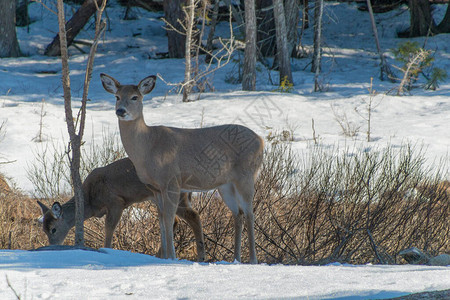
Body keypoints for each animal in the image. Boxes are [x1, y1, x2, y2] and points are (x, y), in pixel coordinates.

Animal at [37, 158, 206, 262]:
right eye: (43, 229)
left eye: (53, 229)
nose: (52, 246)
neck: (90, 200)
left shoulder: (116, 202)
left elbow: (109, 229)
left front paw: (107, 250)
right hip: (159, 198)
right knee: (172, 220)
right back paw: (160, 255)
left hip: (175, 194)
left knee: (193, 215)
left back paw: (200, 257)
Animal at [100, 74, 264, 264]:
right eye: (117, 97)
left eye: (135, 97)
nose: (121, 111)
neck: (148, 146)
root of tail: (261, 140)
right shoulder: (155, 189)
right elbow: (161, 220)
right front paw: (164, 257)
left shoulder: (171, 181)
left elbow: (169, 218)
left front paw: (172, 257)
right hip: (225, 185)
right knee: (238, 214)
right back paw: (236, 258)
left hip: (246, 175)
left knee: (250, 213)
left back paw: (253, 259)